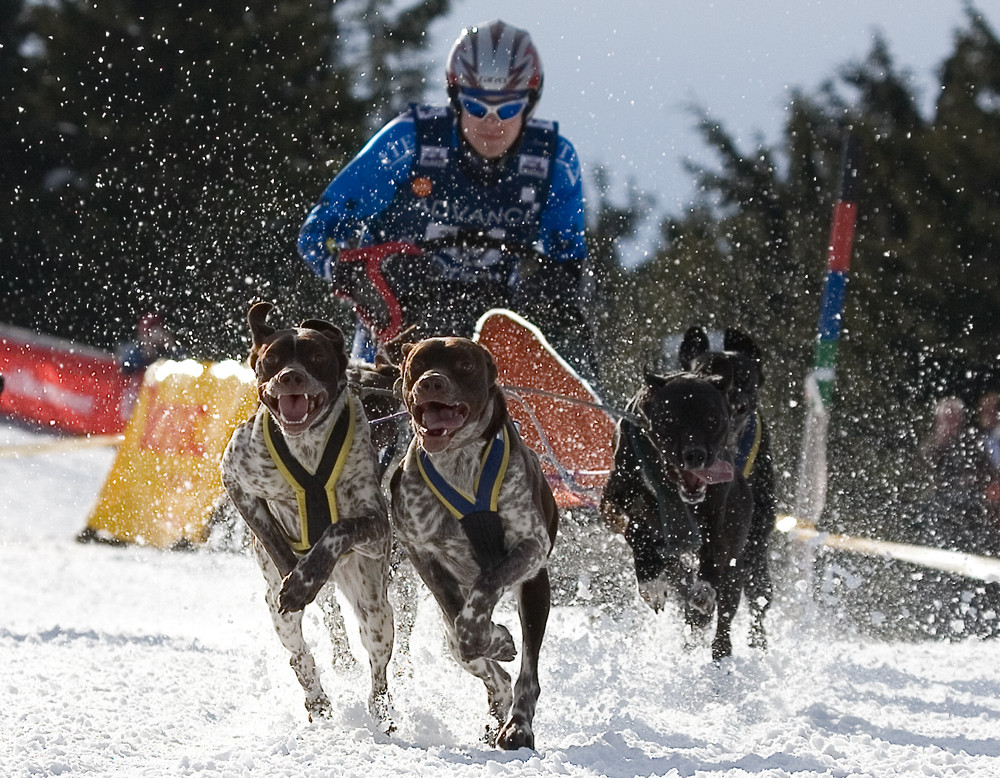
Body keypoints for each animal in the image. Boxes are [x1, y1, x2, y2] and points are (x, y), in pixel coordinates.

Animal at [223, 300, 394, 724]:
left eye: (316, 357)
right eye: (272, 359)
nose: (290, 376)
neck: (307, 447)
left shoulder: (375, 525)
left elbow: (340, 529)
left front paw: (307, 576)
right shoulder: (235, 476)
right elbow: (269, 534)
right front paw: (295, 573)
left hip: (375, 607)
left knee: (377, 661)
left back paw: (381, 709)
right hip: (281, 614)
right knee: (298, 653)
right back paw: (316, 698)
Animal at [388, 336, 560, 748]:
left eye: (465, 365)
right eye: (417, 364)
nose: (432, 382)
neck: (459, 462)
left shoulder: (530, 545)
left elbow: (486, 587)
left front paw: (494, 637)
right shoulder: (421, 552)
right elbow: (461, 624)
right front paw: (495, 641)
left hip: (535, 594)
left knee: (527, 673)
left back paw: (517, 727)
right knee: (480, 662)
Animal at [596, 366, 752, 656]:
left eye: (712, 419)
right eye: (670, 419)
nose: (695, 455)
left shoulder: (717, 521)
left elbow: (713, 554)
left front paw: (704, 590)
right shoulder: (612, 505)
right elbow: (635, 528)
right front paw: (650, 579)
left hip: (737, 560)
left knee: (725, 611)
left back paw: (720, 652)